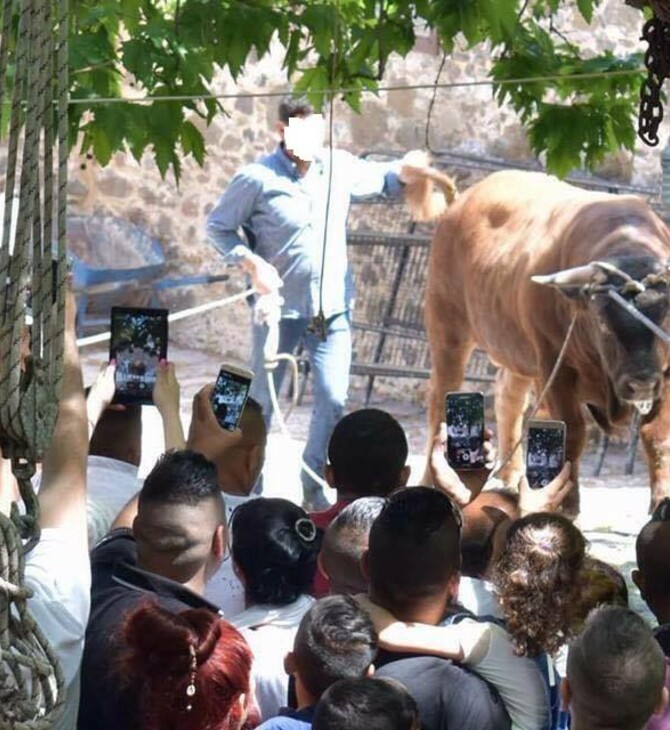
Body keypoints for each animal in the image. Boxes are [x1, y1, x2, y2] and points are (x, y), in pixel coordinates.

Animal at [422, 170, 670, 512]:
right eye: (603, 321)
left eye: (665, 315)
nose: (641, 382)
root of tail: (460, 203)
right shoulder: (555, 366)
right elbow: (573, 432)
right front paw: (567, 504)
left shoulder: (665, 375)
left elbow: (656, 435)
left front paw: (662, 500)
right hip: (447, 326)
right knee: (440, 397)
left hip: (518, 352)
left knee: (508, 398)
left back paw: (509, 479)